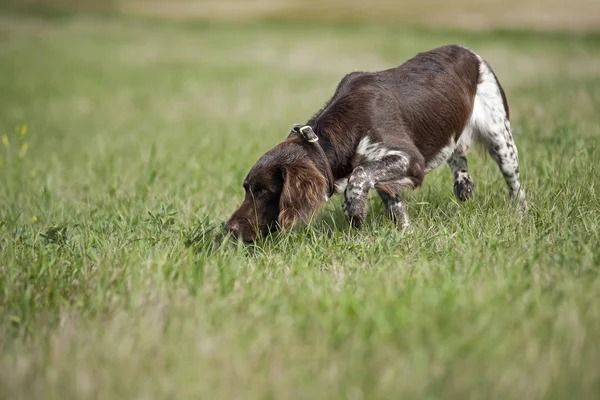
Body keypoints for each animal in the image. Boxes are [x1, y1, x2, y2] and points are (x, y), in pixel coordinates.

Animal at [225, 45, 524, 242]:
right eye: (247, 189)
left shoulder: (409, 159)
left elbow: (359, 175)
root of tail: (469, 52)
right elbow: (393, 203)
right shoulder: (386, 176)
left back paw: (520, 213)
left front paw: (355, 210)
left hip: (501, 138)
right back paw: (463, 184)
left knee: (516, 185)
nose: (230, 229)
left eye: (264, 191)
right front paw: (404, 234)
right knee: (457, 153)